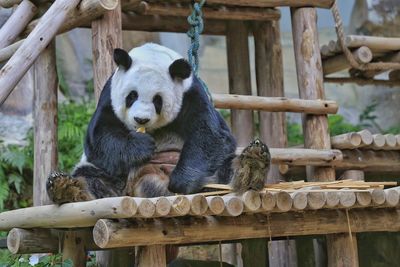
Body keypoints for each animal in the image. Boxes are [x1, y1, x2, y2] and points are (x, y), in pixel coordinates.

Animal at [47, 43, 272, 205]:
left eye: (157, 100)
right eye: (131, 96)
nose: (141, 120)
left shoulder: (191, 94)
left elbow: (212, 136)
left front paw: (181, 181)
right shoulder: (109, 95)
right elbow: (99, 138)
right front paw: (141, 146)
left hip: (211, 177)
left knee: (226, 169)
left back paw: (252, 165)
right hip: (107, 175)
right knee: (90, 179)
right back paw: (65, 187)